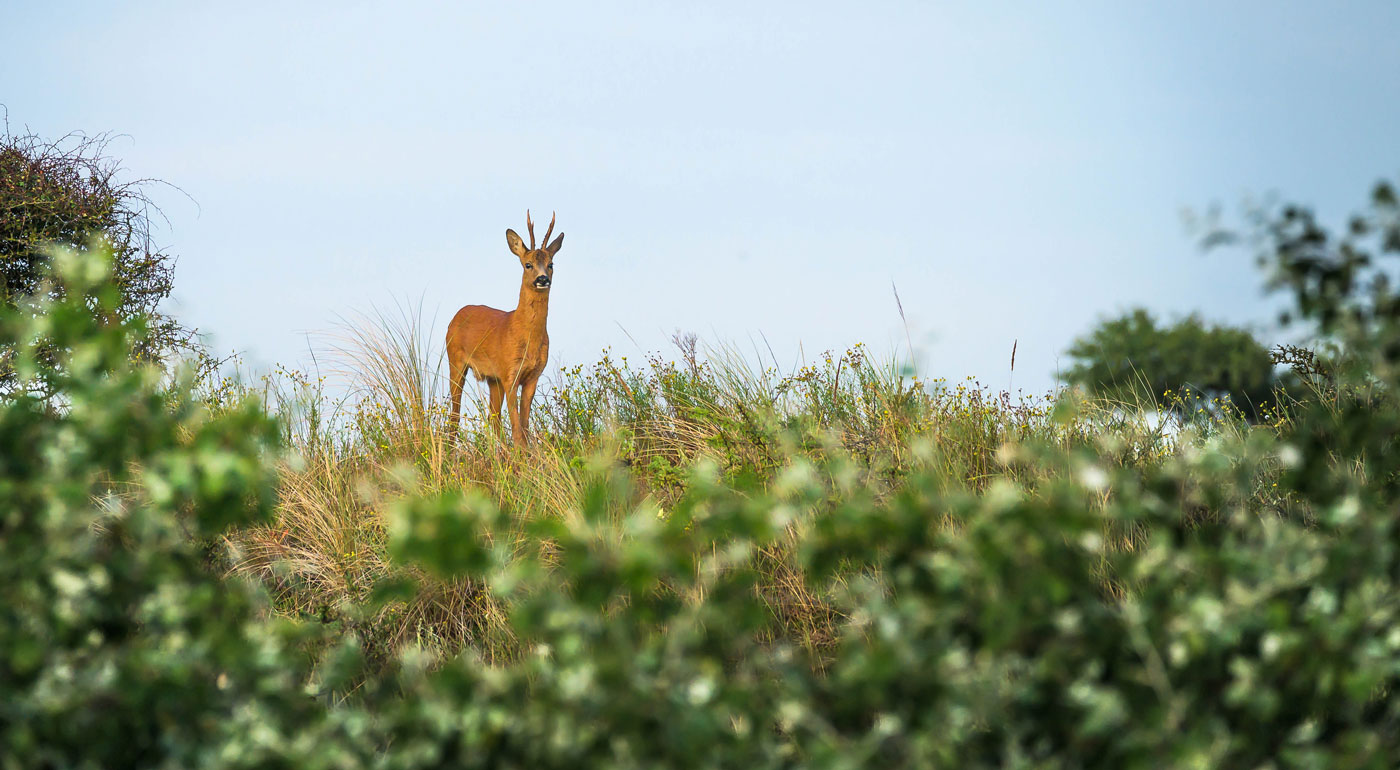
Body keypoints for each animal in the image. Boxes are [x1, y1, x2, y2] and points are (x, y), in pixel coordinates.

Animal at [445, 212, 560, 448]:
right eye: (528, 264)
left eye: (551, 264)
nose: (543, 279)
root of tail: (456, 315)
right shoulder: (510, 374)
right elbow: (517, 429)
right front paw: (520, 455)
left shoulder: (532, 376)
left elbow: (524, 427)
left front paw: (527, 454)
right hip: (456, 361)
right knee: (455, 414)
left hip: (492, 379)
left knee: (493, 419)